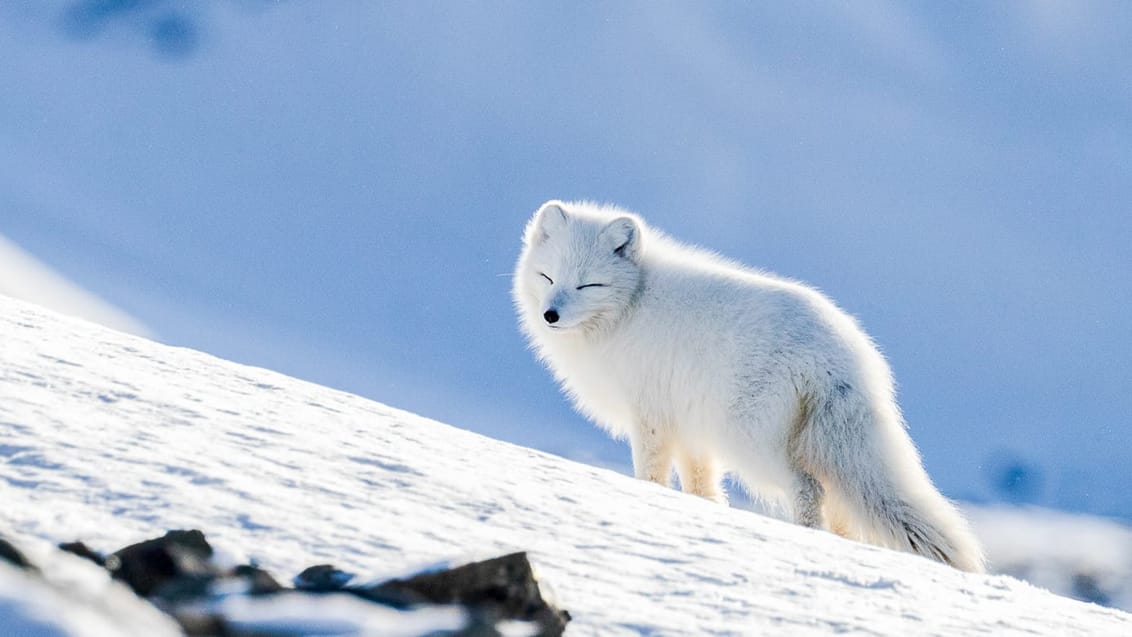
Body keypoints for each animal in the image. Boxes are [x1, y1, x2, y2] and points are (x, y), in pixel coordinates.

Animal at [511, 200, 982, 572]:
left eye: (588, 284)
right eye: (548, 277)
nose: (551, 315)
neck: (630, 306)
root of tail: (839, 356)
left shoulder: (651, 418)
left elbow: (652, 475)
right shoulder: (690, 428)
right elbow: (700, 484)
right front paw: (706, 511)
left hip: (748, 441)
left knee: (809, 488)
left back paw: (809, 537)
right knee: (841, 503)